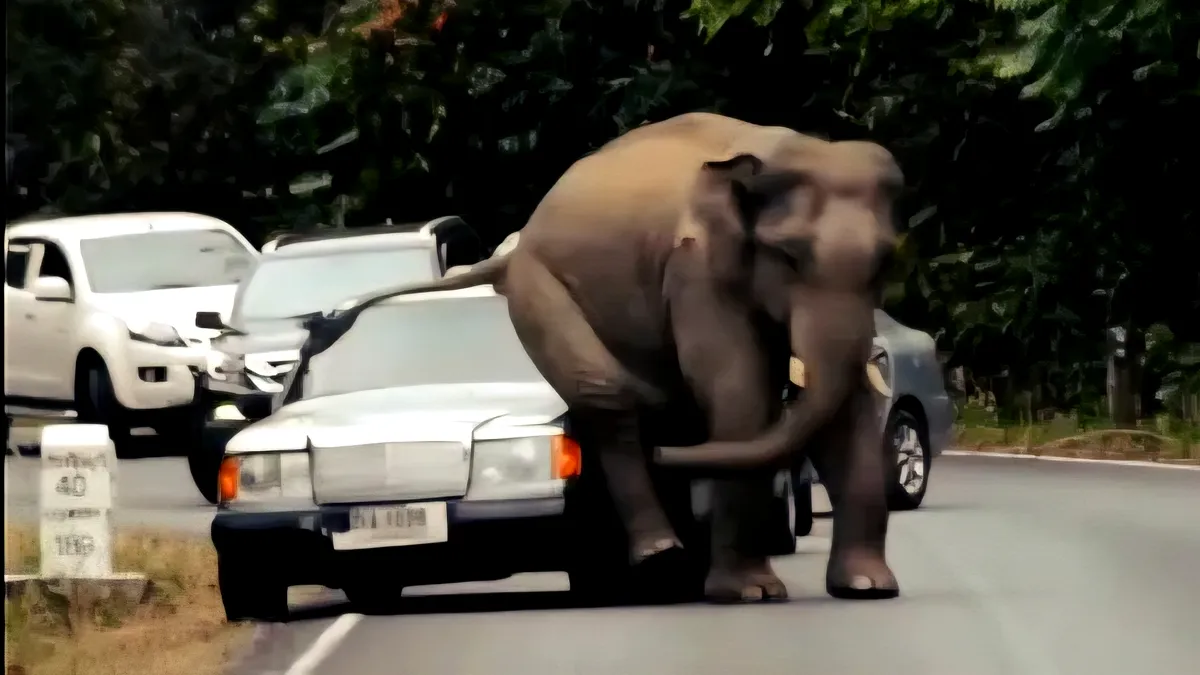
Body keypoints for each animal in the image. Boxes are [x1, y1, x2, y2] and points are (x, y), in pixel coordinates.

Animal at [318, 112, 903, 602]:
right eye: (789, 256)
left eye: (885, 262)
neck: (779, 150)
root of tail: (511, 249)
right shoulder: (695, 269)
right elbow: (742, 396)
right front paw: (751, 593)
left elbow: (846, 408)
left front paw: (867, 588)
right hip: (543, 293)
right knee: (612, 400)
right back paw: (660, 554)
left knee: (669, 411)